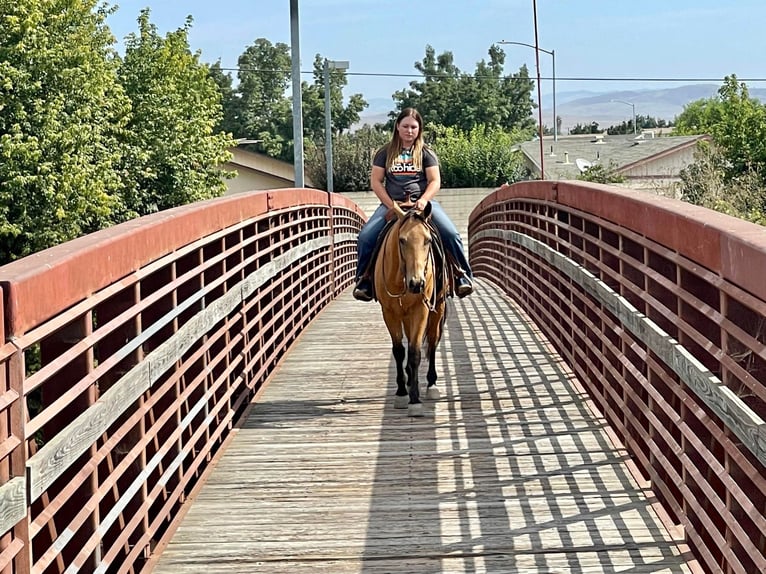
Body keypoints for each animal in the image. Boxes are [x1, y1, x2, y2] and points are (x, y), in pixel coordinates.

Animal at [374, 204, 448, 418]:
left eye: (428, 240)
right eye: (402, 240)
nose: (417, 284)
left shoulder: (421, 310)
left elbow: (415, 352)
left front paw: (415, 400)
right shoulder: (389, 312)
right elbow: (399, 351)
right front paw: (401, 393)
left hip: (437, 309)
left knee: (432, 343)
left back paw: (431, 384)